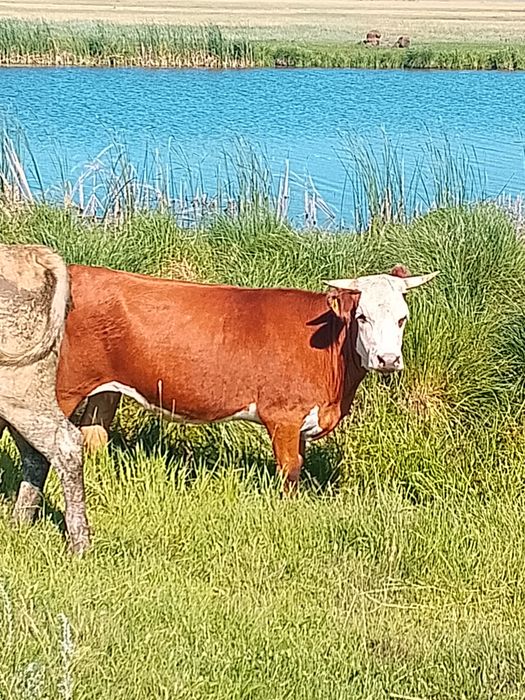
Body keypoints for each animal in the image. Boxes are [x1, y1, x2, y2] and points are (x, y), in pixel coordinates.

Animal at [0, 245, 89, 554]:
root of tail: (30, 252)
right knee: (36, 455)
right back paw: (19, 524)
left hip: (17, 386)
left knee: (66, 443)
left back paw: (79, 545)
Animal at [8, 263, 437, 545]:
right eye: (362, 317)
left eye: (402, 318)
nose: (387, 359)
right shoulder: (283, 415)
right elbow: (291, 469)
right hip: (58, 387)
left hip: (103, 392)